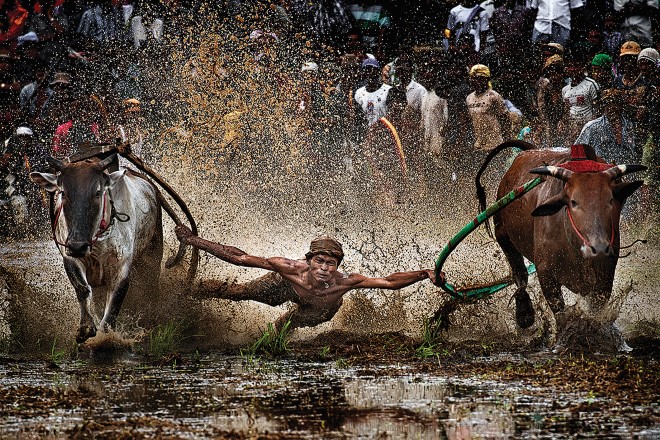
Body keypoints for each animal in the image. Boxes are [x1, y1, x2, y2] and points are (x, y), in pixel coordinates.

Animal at [476, 142, 648, 334]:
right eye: (573, 202)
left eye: (611, 200)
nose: (599, 248)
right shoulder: (546, 275)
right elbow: (561, 316)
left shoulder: (605, 277)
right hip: (502, 233)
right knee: (520, 275)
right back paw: (524, 313)